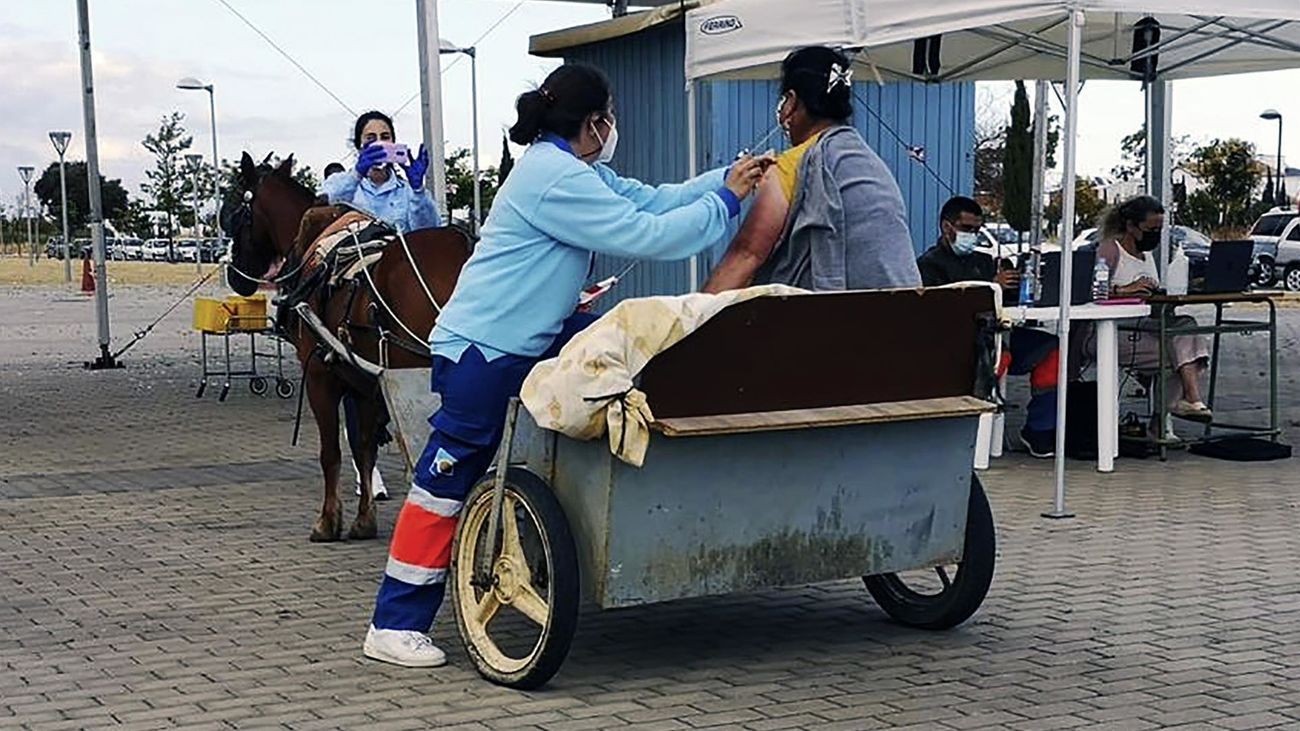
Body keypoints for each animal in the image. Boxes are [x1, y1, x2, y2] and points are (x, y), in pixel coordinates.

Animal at [224, 152, 478, 541]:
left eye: (237, 209)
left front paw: (328, 521)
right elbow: (363, 448)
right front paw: (363, 518)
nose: (235, 277)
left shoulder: (320, 378)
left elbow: (331, 452)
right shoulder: (368, 385)